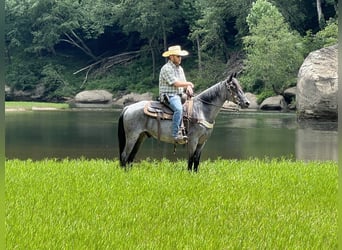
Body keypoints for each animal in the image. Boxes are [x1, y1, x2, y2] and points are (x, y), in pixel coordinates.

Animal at [117, 71, 248, 171]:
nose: (247, 103)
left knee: (131, 157)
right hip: (132, 136)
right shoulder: (193, 140)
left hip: (141, 136)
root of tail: (128, 108)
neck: (202, 110)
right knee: (124, 156)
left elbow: (196, 160)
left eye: (239, 85)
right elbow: (190, 160)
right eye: (233, 87)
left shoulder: (202, 142)